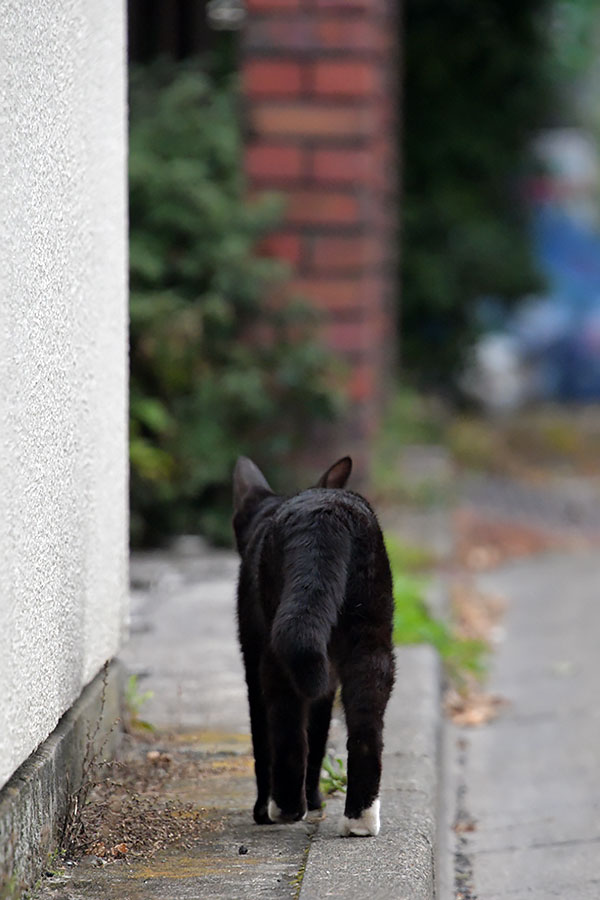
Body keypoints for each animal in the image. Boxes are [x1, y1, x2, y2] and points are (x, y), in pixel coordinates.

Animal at [232, 458, 396, 836]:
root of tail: (328, 516)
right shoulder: (329, 675)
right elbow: (320, 732)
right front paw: (317, 799)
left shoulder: (250, 653)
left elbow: (262, 735)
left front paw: (267, 807)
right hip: (370, 635)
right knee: (366, 723)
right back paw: (360, 820)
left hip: (274, 644)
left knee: (285, 720)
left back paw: (283, 808)